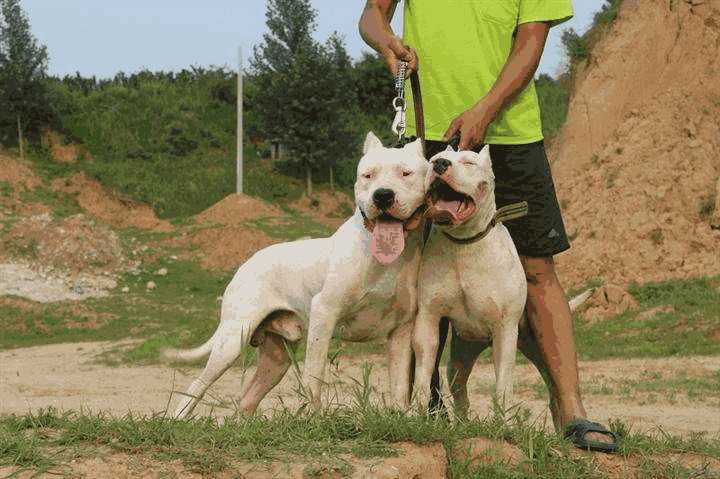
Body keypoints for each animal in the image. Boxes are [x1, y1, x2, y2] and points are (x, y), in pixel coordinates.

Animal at [165, 133, 428, 418]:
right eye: (368, 175)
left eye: (405, 173)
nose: (383, 196)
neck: (383, 257)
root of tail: (246, 263)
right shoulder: (324, 313)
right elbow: (314, 375)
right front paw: (317, 419)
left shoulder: (401, 331)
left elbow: (400, 384)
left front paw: (403, 416)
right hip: (233, 339)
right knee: (197, 385)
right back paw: (178, 418)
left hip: (276, 358)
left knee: (247, 399)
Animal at [410, 146, 528, 412]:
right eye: (432, 160)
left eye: (469, 162)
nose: (440, 164)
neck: (463, 244)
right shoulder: (429, 318)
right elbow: (423, 374)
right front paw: (414, 412)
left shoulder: (505, 330)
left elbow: (503, 387)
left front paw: (503, 419)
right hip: (462, 353)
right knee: (458, 386)